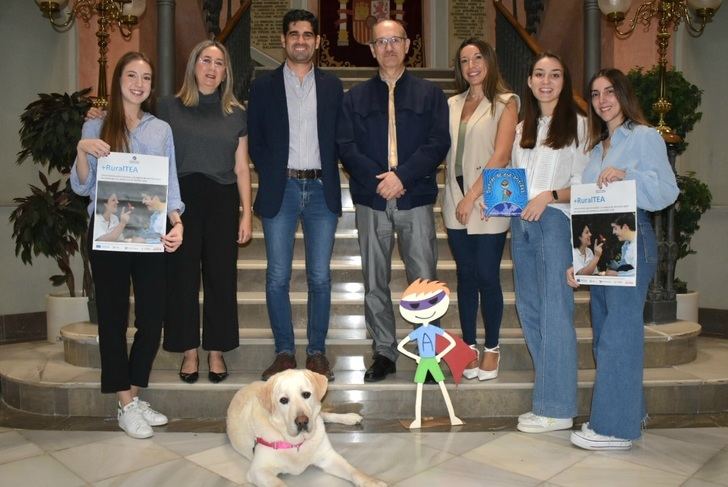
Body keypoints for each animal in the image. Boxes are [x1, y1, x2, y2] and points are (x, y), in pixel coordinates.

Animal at [228, 370, 386, 487]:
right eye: (283, 400)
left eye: (306, 394)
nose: (302, 421)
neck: (297, 443)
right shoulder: (258, 470)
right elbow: (279, 484)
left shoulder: (329, 457)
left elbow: (354, 470)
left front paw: (372, 481)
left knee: (325, 415)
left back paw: (350, 418)